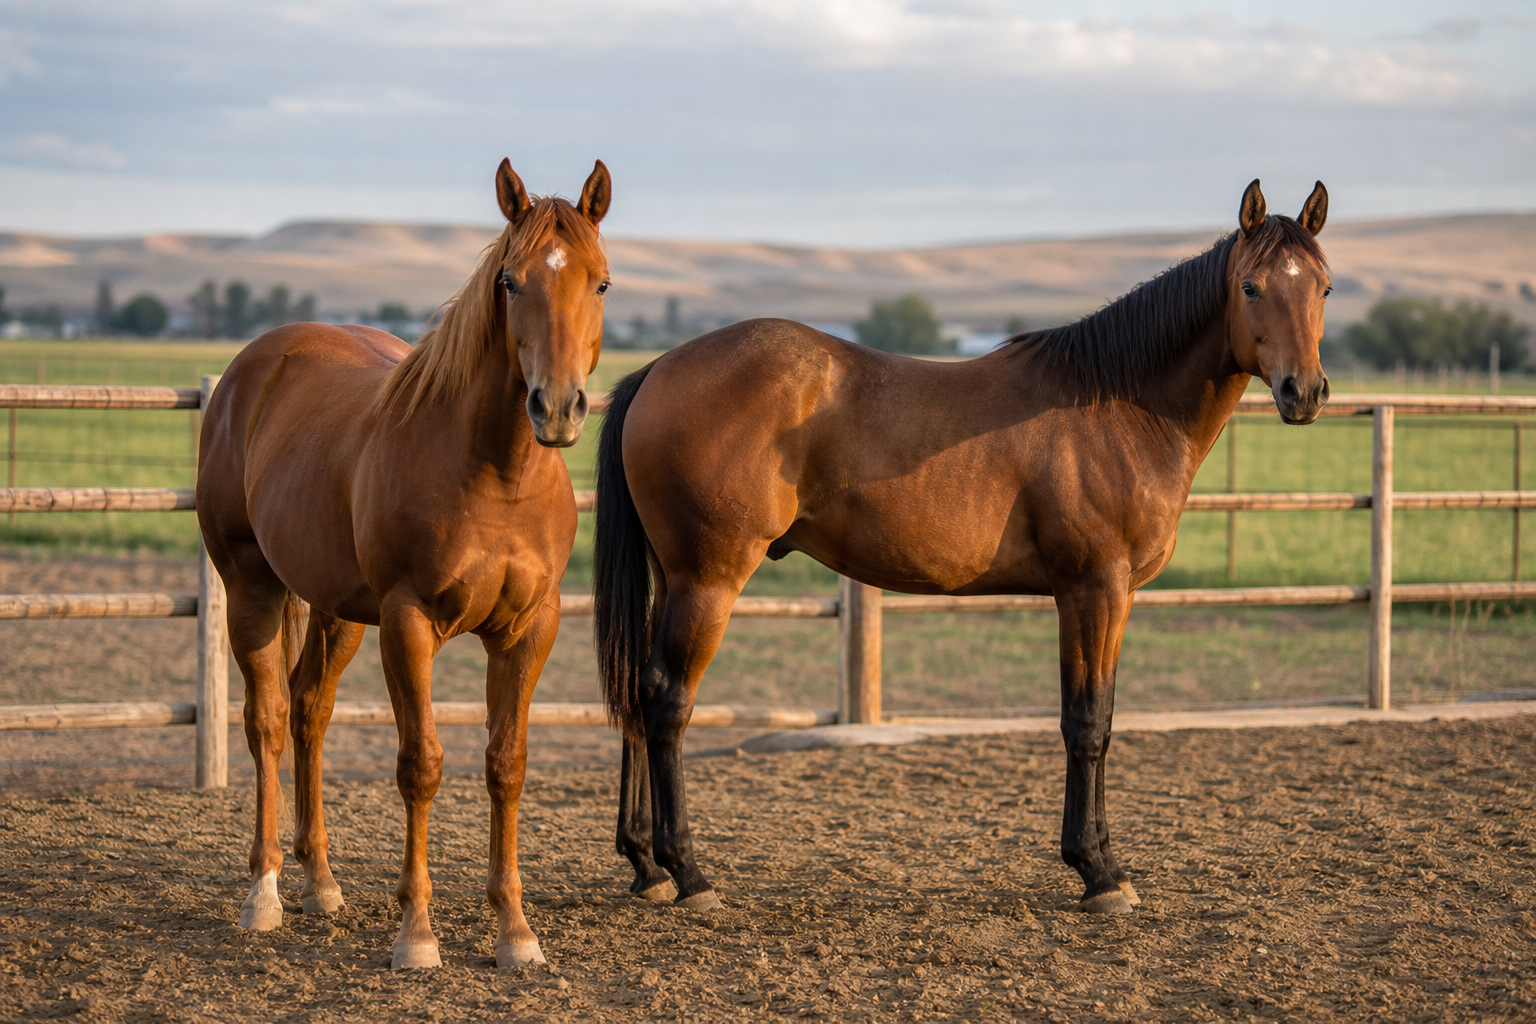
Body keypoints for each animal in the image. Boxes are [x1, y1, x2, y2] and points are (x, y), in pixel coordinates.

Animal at [197, 157, 611, 968]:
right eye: (510, 281)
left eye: (601, 282)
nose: (556, 408)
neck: (495, 474)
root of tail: (252, 368)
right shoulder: (408, 620)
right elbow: (421, 764)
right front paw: (416, 933)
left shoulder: (530, 628)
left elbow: (505, 764)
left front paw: (514, 931)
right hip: (253, 587)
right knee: (267, 719)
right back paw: (263, 892)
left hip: (336, 612)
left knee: (309, 711)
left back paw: (321, 884)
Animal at [594, 179, 1331, 914]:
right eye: (1251, 287)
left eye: (1323, 286)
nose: (1305, 392)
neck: (1119, 407)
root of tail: (657, 370)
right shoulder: (1094, 590)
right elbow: (1086, 723)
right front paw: (1099, 872)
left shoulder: (1106, 596)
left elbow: (1101, 718)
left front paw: (1099, 862)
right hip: (709, 580)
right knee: (667, 699)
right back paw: (689, 874)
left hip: (674, 580)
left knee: (638, 693)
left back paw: (646, 866)